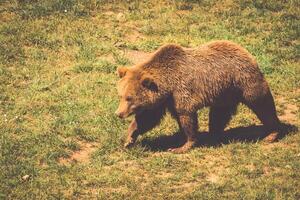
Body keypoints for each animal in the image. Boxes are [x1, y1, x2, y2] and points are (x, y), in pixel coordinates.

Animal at [115, 40, 282, 153]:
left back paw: (272, 134)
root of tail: (246, 51)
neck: (167, 83)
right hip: (225, 92)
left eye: (129, 98)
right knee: (218, 115)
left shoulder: (181, 91)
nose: (118, 113)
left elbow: (186, 117)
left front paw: (183, 145)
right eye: (121, 95)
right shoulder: (164, 99)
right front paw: (129, 138)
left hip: (244, 81)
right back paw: (213, 135)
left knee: (262, 104)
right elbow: (148, 118)